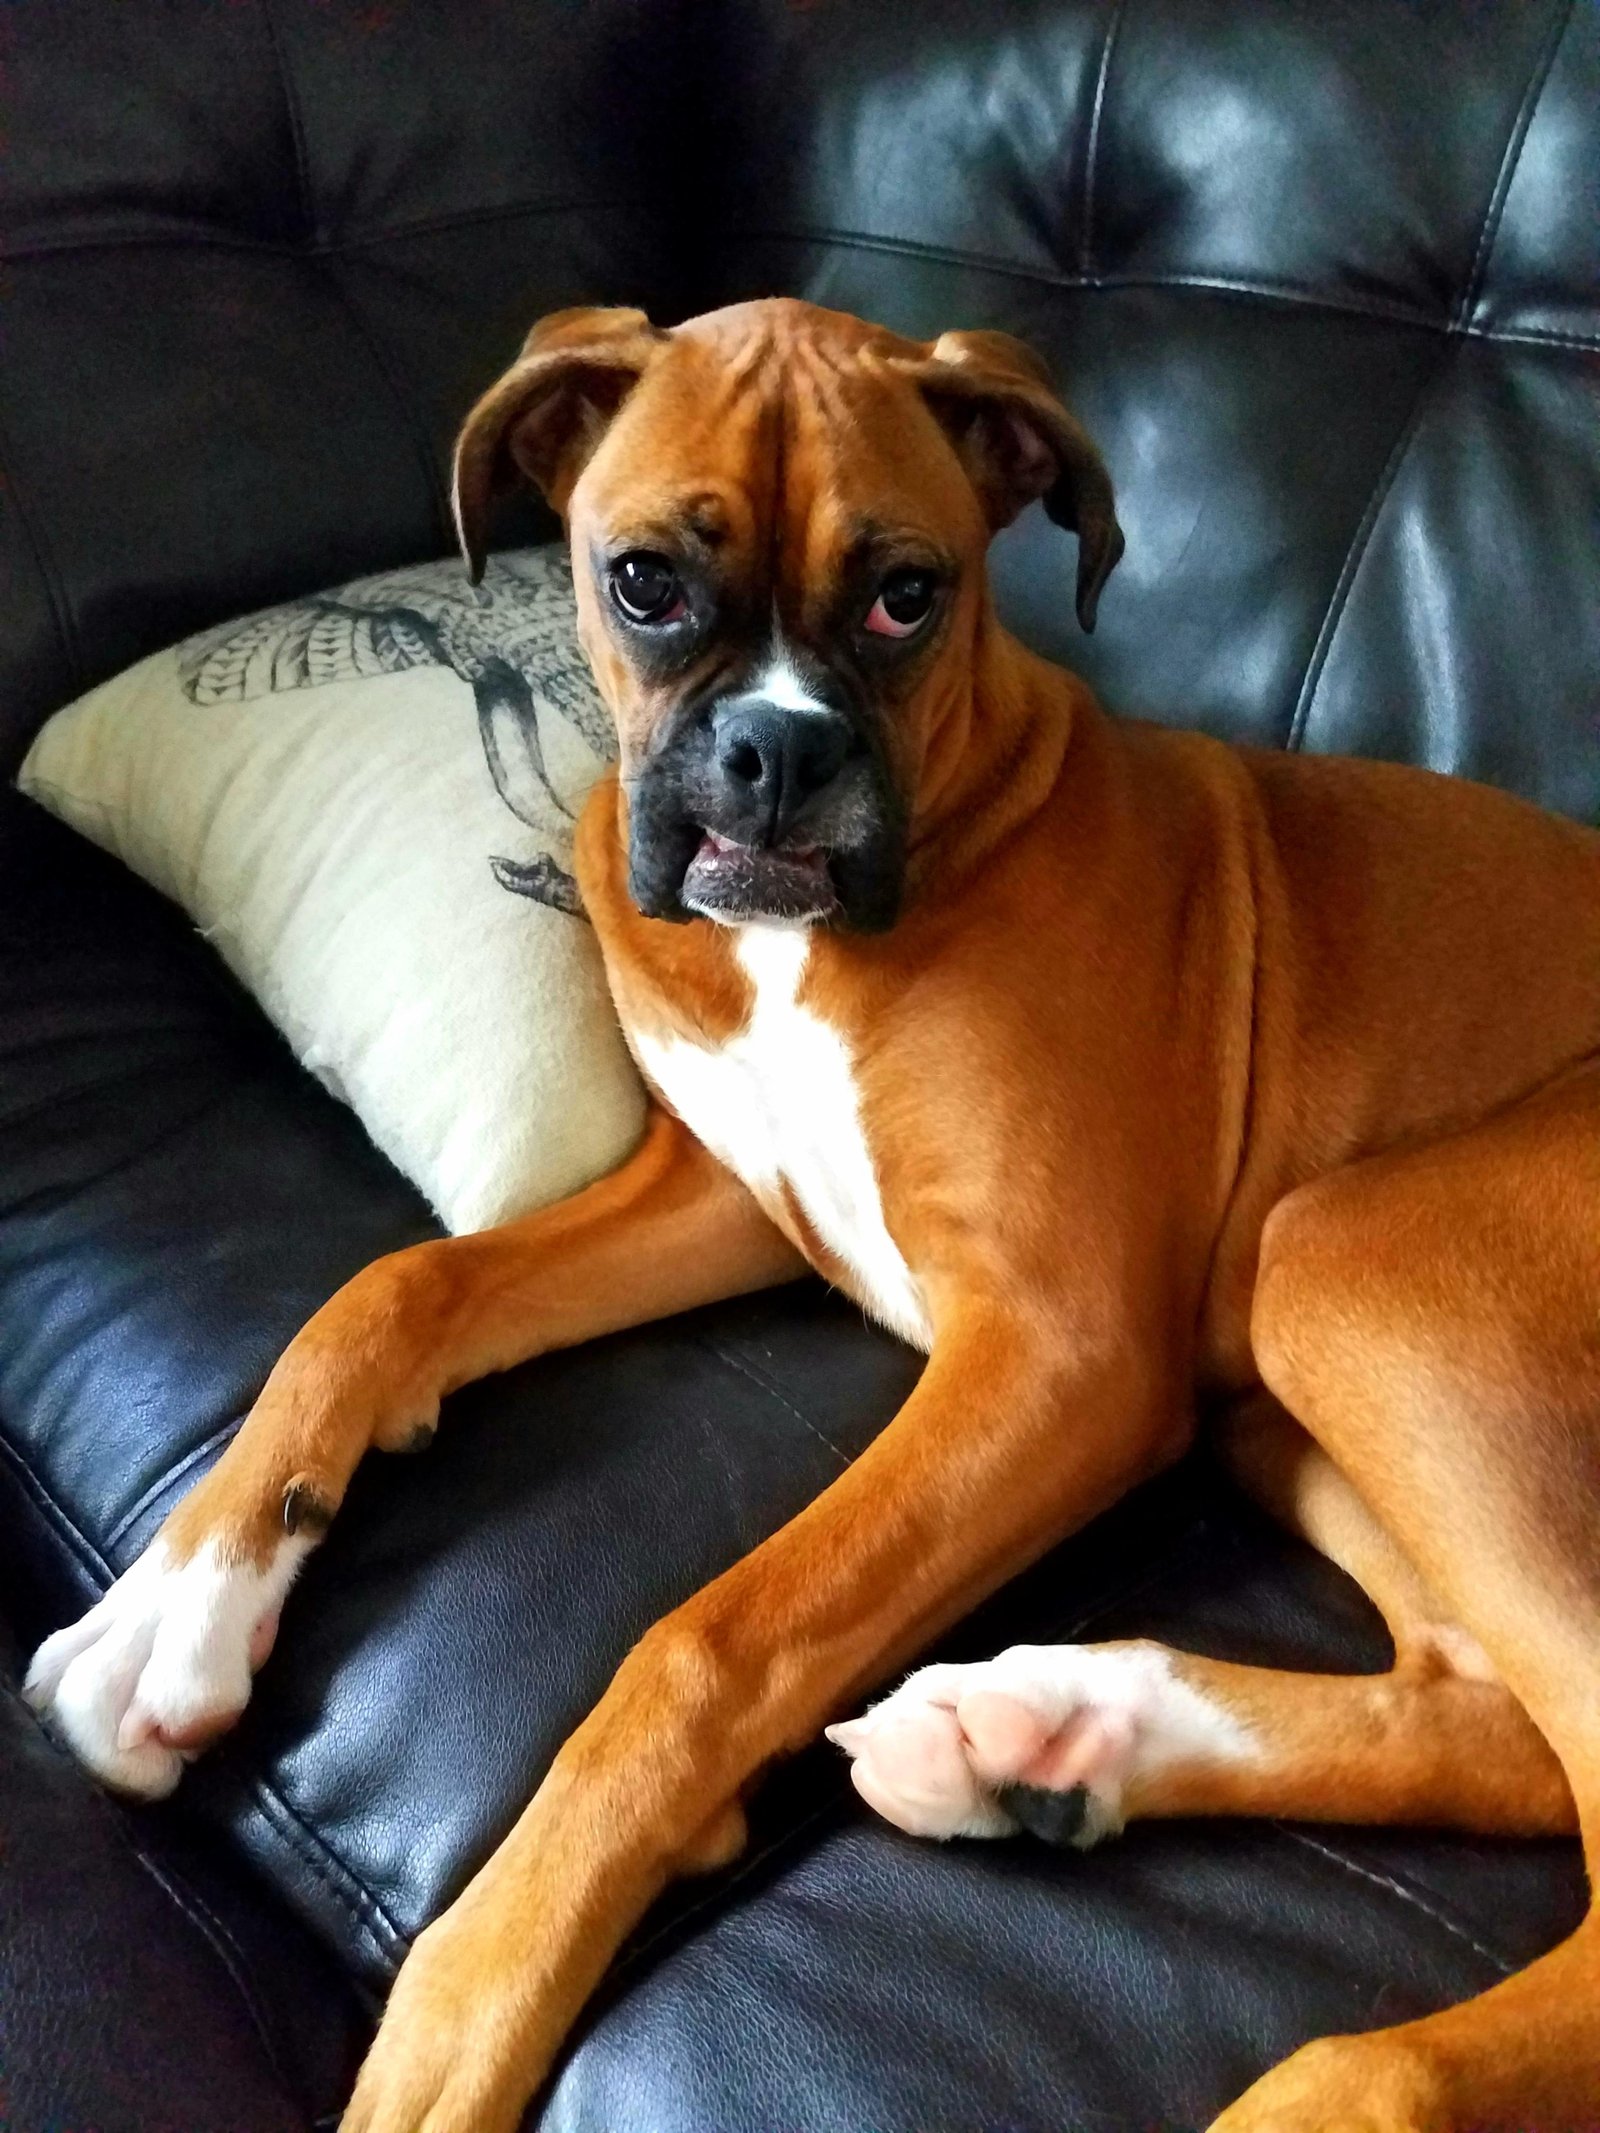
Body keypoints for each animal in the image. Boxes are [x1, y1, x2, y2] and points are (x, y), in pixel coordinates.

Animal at [21, 300, 1600, 2133]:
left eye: (909, 593)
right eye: (642, 581)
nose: (776, 752)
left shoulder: (1059, 1357)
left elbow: (704, 1643)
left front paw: (469, 1996)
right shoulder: (732, 1203)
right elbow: (391, 1289)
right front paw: (175, 1603)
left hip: (1346, 1266)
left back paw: (1331, 2074)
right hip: (1297, 1404)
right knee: (1502, 1724)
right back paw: (1060, 1733)